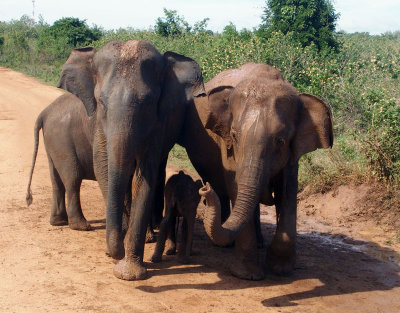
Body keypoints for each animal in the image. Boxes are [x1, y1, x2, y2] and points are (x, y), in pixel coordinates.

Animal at [26, 40, 205, 280]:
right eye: (101, 102)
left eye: (148, 103)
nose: (115, 252)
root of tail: (44, 113)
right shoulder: (98, 125)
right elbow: (105, 169)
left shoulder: (158, 126)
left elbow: (143, 177)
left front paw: (130, 273)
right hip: (61, 140)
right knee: (72, 179)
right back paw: (81, 226)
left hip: (55, 142)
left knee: (58, 179)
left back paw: (60, 222)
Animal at [180, 62, 332, 280]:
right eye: (235, 135)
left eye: (280, 141)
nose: (204, 190)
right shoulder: (227, 145)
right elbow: (234, 183)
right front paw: (248, 275)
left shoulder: (293, 151)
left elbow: (288, 191)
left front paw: (280, 269)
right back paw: (227, 244)